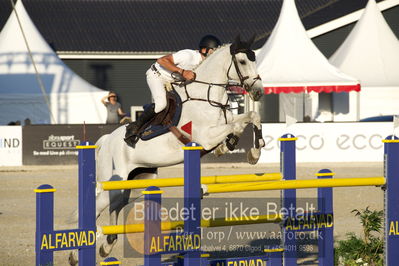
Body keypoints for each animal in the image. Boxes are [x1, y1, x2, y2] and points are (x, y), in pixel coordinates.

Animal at [69, 36, 266, 264]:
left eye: (253, 59)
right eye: (242, 61)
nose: (258, 92)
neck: (206, 96)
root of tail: (106, 140)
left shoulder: (224, 123)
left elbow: (250, 117)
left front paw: (249, 150)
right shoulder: (206, 137)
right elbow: (239, 123)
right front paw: (238, 147)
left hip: (136, 184)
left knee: (115, 205)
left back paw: (107, 245)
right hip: (114, 181)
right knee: (94, 208)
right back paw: (76, 254)